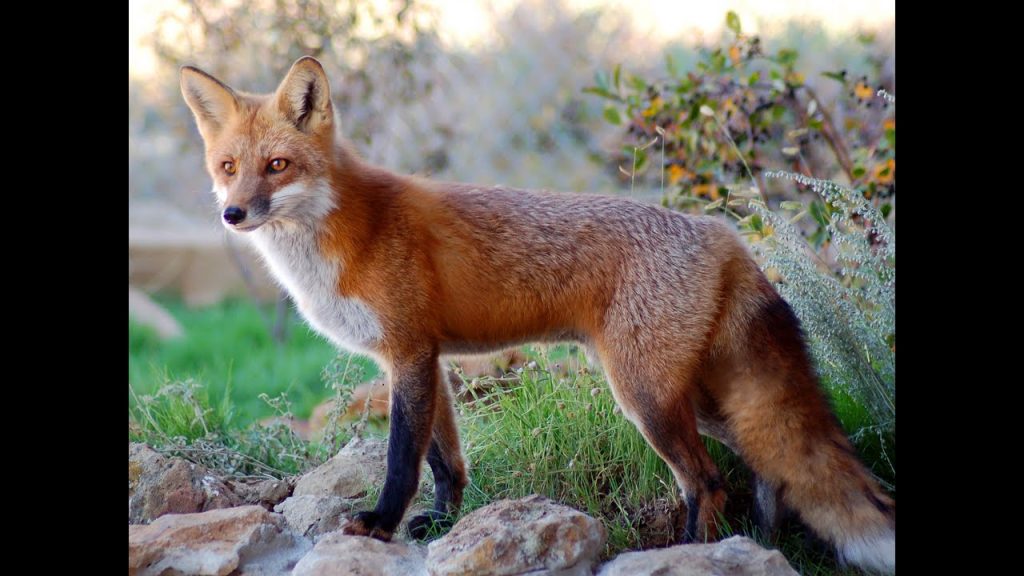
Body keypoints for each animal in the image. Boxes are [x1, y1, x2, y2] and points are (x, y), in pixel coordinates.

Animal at [180, 57, 892, 569]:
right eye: (229, 166)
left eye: (278, 165)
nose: (233, 213)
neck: (345, 232)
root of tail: (724, 233)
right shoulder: (424, 359)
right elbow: (446, 460)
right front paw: (442, 523)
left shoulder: (408, 352)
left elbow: (402, 457)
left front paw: (380, 525)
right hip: (696, 400)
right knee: (768, 469)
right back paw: (764, 544)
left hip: (646, 397)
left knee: (709, 482)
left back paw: (693, 551)